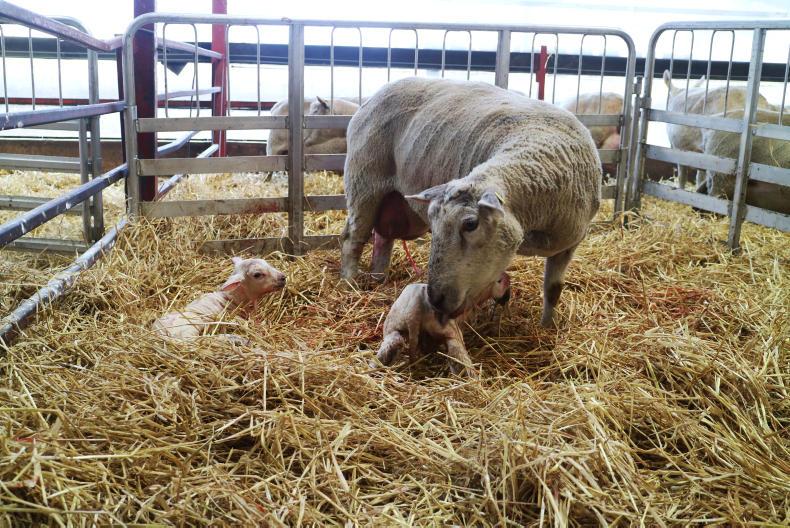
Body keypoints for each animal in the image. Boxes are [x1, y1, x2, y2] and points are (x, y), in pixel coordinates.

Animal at [153, 257, 286, 342]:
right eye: (257, 274)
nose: (283, 277)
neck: (232, 298)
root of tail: (156, 332)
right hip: (188, 327)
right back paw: (234, 339)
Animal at [340, 77, 601, 327]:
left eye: (470, 225)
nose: (435, 299)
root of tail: (374, 96)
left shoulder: (570, 244)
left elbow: (553, 290)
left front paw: (548, 328)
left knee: (383, 238)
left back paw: (378, 279)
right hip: (364, 181)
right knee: (352, 239)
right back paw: (349, 282)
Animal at [373, 273, 511, 376]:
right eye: (501, 282)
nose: (505, 298)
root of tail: (414, 307)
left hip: (393, 327)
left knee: (393, 344)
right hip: (450, 333)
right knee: (458, 354)